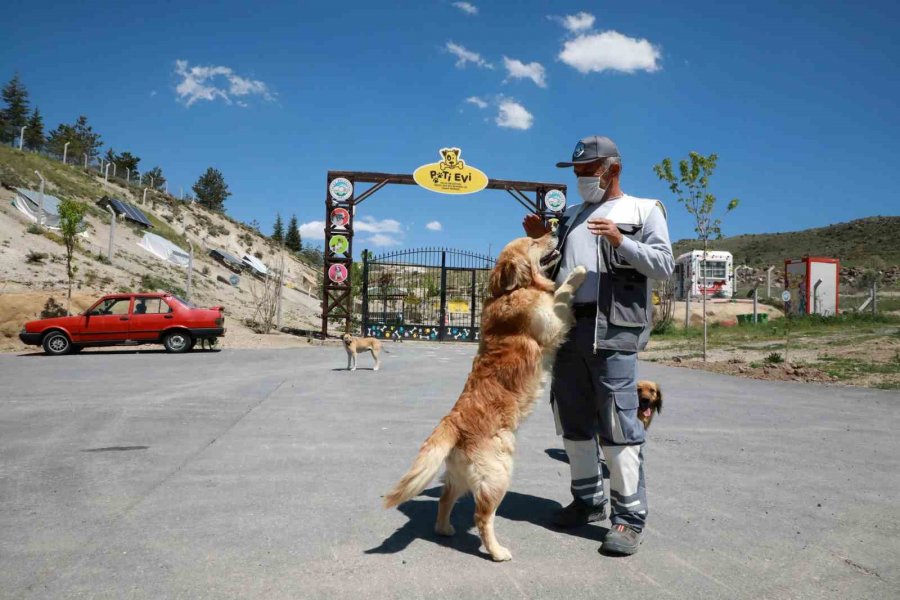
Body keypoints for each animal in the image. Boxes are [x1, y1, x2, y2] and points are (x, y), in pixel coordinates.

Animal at [382, 232, 584, 560]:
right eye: (532, 242)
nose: (554, 229)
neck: (508, 291)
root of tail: (451, 423)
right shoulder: (552, 321)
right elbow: (563, 292)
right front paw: (578, 273)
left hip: (461, 474)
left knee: (445, 498)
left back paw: (445, 529)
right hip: (498, 473)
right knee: (482, 516)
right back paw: (496, 551)